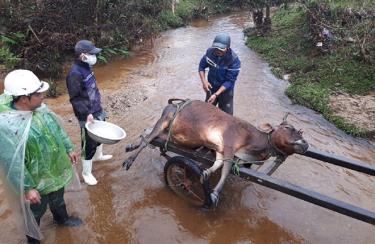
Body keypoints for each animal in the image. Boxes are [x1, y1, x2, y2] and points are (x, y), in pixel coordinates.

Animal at [125, 99, 310, 206]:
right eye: (287, 127)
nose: (305, 143)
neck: (251, 142)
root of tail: (173, 103)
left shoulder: (220, 149)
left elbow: (218, 164)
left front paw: (206, 172)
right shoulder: (229, 146)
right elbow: (226, 169)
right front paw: (214, 193)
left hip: (169, 134)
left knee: (146, 134)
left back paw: (131, 146)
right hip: (165, 119)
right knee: (148, 139)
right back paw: (129, 160)